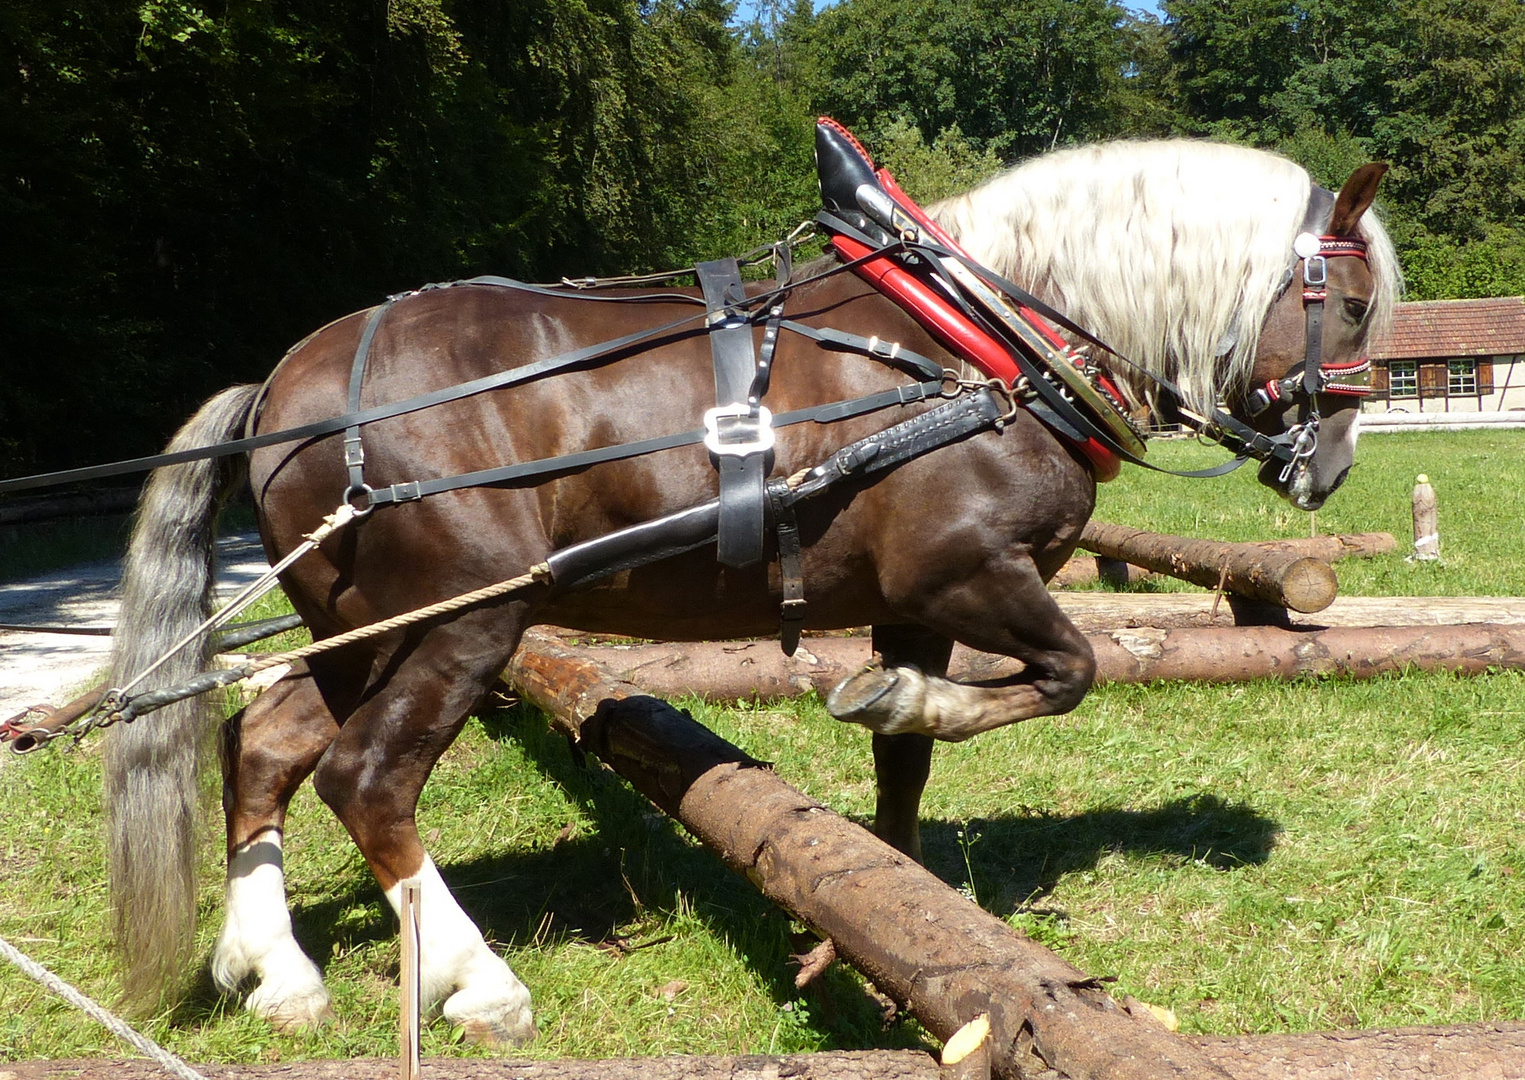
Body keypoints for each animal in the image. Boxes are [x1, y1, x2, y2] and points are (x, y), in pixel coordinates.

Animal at [101, 145, 1396, 1043]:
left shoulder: (914, 604)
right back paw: (479, 984)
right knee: (366, 779)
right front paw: (897, 714)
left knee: (263, 745)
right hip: (464, 623)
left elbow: (907, 767)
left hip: (359, 629)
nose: (1330, 463)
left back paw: (277, 971)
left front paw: (879, 909)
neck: (982, 338)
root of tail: (285, 386)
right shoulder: (968, 572)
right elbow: (1069, 672)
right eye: (1350, 302)